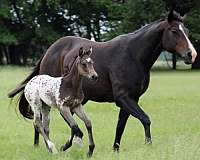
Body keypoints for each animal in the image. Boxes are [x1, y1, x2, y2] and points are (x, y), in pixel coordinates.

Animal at [8, 10, 197, 152]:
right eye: (174, 31)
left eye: (186, 32)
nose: (191, 54)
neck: (133, 56)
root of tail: (49, 50)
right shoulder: (123, 98)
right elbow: (145, 119)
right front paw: (148, 146)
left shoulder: (131, 99)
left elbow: (120, 126)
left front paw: (115, 149)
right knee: (41, 120)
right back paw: (42, 146)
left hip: (78, 99)